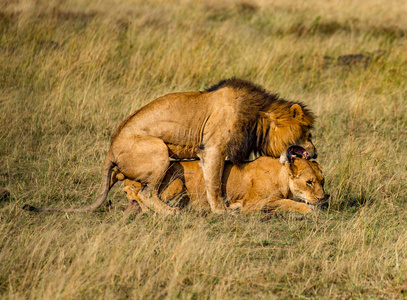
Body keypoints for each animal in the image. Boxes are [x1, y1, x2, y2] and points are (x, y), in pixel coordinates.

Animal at [122, 155, 328, 216]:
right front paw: (309, 209)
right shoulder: (252, 204)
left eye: (322, 181)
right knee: (140, 194)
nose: (323, 198)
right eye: (309, 182)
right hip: (177, 181)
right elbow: (285, 202)